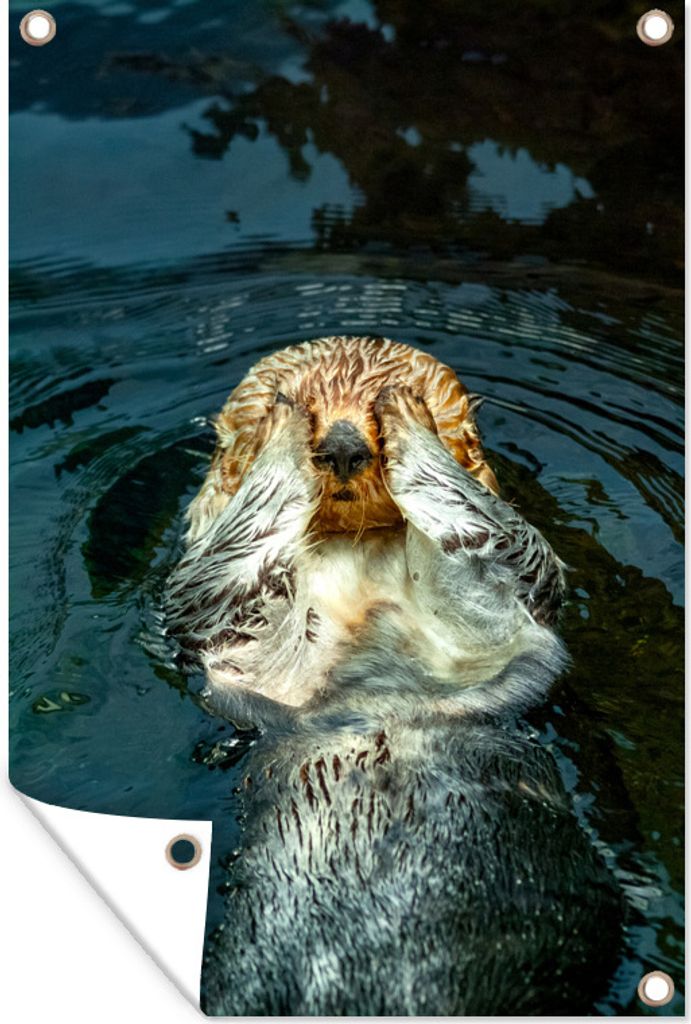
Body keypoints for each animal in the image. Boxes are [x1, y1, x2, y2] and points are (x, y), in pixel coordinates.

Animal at [166, 336, 623, 1015]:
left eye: (371, 409)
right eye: (307, 399)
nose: (343, 443)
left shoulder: (509, 602)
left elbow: (491, 533)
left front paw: (410, 414)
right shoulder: (224, 622)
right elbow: (230, 563)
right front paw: (279, 425)